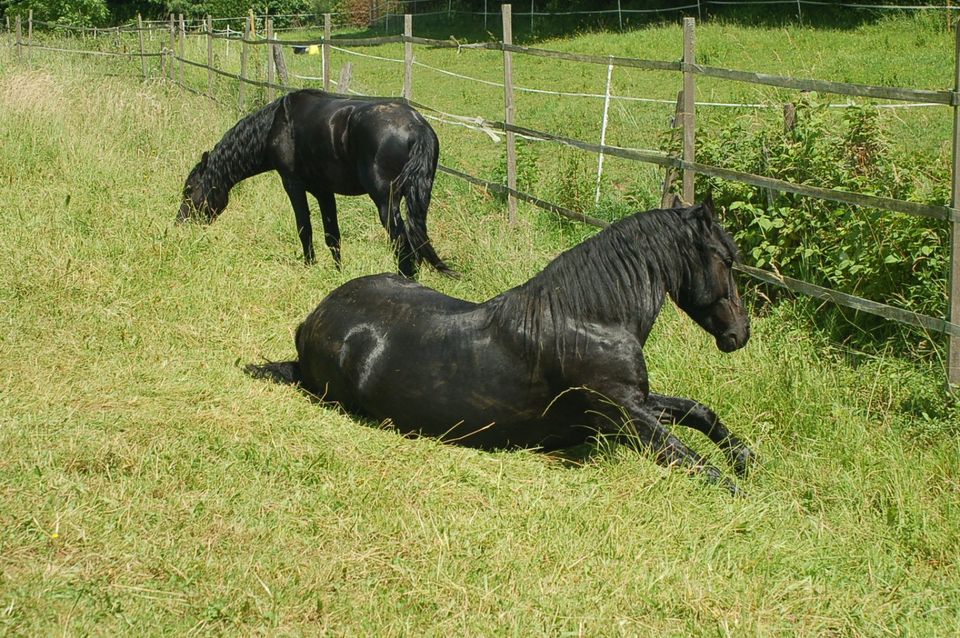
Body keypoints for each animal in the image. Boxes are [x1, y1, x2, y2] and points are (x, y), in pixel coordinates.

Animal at [177, 88, 454, 278]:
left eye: (189, 190)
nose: (180, 224)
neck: (276, 125)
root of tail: (416, 127)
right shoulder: (324, 191)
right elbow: (332, 235)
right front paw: (337, 273)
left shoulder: (292, 184)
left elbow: (304, 228)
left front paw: (309, 266)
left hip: (386, 202)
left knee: (402, 243)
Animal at [248, 200, 756, 496]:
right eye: (726, 259)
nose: (739, 333)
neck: (591, 318)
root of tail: (312, 318)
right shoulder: (625, 417)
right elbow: (694, 462)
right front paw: (746, 491)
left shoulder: (637, 403)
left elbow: (699, 412)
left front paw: (746, 459)